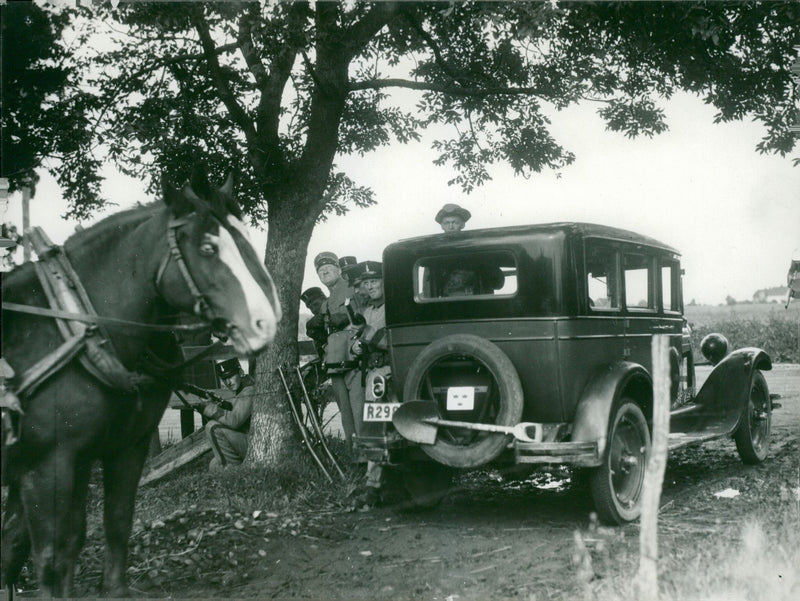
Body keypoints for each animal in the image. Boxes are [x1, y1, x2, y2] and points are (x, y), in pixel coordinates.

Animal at [0, 165, 282, 596]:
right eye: (207, 248)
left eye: (245, 239)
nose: (265, 321)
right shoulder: (45, 466)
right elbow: (48, 559)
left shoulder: (119, 450)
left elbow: (110, 529)